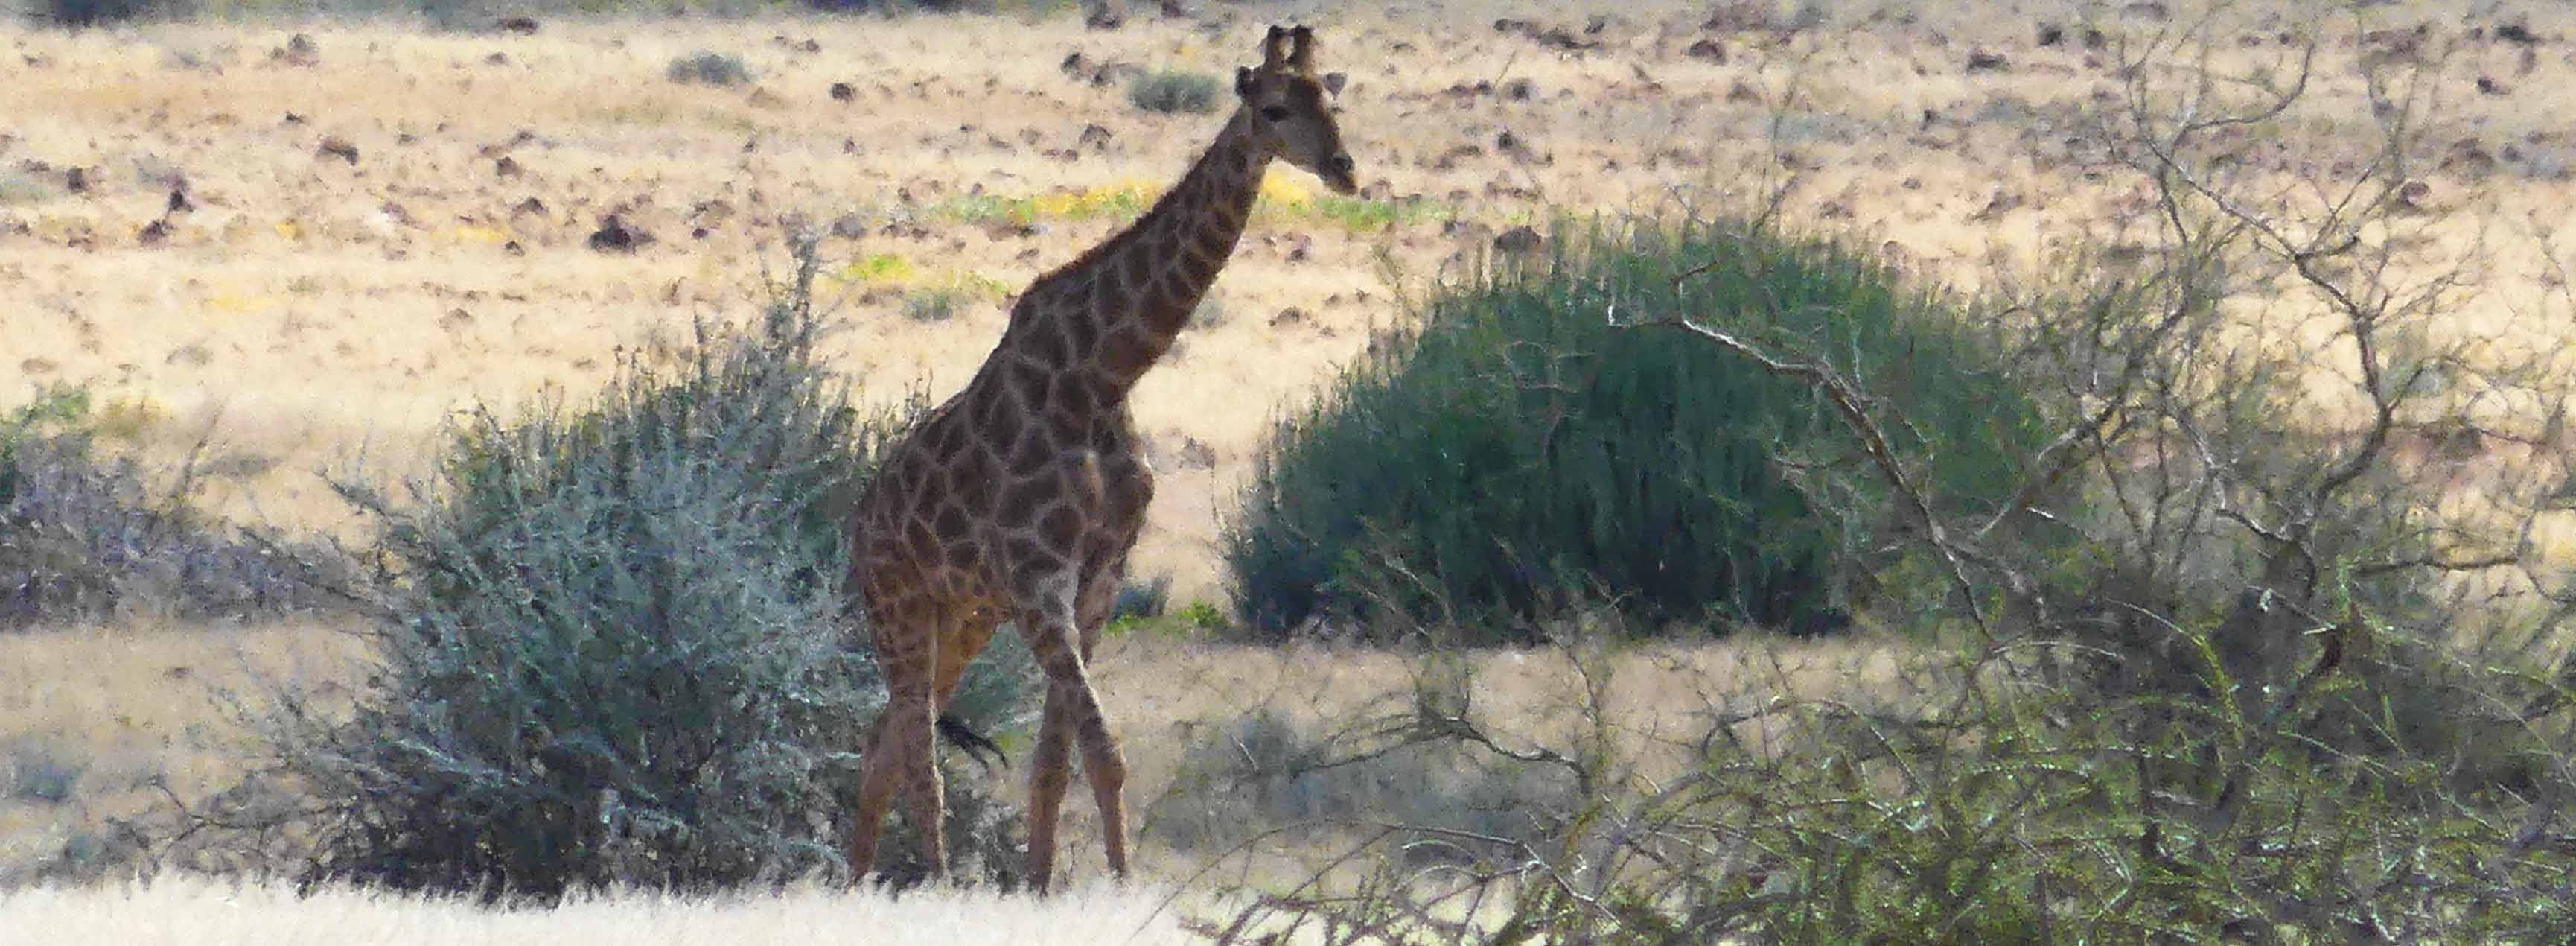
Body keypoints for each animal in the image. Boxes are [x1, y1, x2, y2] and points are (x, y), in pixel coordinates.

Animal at [849, 24, 1370, 897]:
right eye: (1272, 109)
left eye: (1331, 100)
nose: (1344, 168)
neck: (1102, 373)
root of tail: (855, 527)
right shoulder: (1039, 578)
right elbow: (1100, 747)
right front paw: (1112, 889)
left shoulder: (1098, 576)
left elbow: (1065, 759)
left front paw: (1047, 886)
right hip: (900, 605)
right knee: (918, 756)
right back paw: (930, 885)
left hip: (961, 615)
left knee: (881, 743)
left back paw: (854, 885)